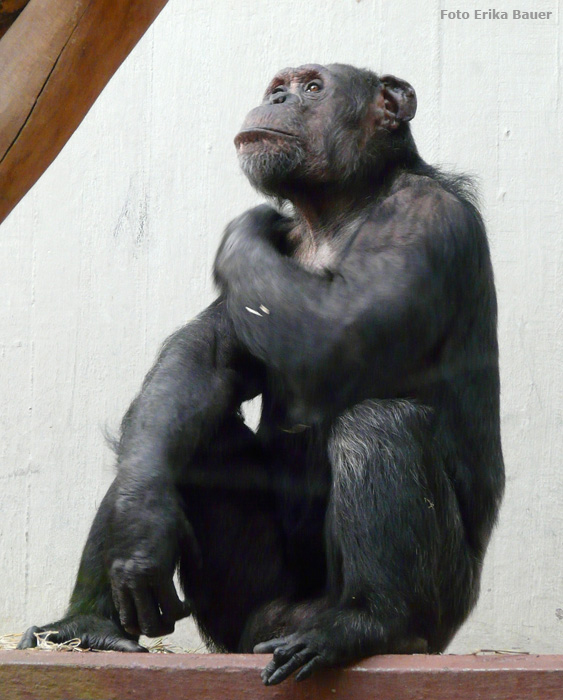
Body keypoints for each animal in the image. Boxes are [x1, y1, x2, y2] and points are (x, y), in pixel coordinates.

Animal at [17, 65, 504, 684]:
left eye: (313, 88)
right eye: (281, 85)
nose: (276, 98)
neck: (334, 210)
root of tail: (277, 626)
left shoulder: (424, 219)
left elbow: (339, 330)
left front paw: (244, 229)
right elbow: (204, 359)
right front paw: (141, 525)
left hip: (440, 608)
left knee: (377, 424)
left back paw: (369, 624)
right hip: (244, 612)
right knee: (176, 434)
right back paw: (86, 627)